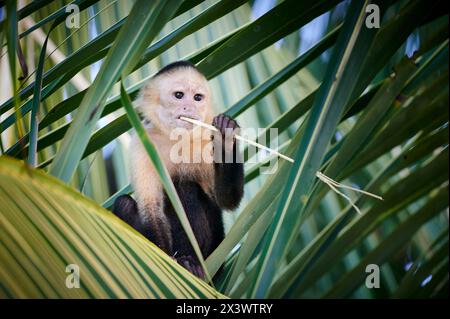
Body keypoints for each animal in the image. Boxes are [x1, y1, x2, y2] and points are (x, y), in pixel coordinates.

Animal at [113, 60, 246, 280]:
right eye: (179, 95)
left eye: (198, 97)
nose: (189, 106)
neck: (177, 137)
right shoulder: (142, 144)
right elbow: (151, 208)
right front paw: (164, 261)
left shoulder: (204, 142)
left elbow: (226, 200)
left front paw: (225, 138)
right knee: (124, 203)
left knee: (186, 188)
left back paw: (191, 263)